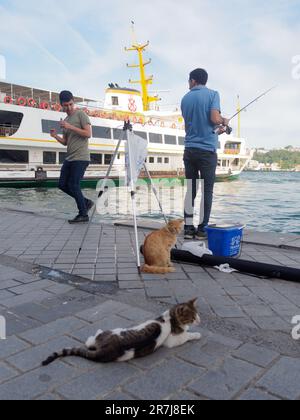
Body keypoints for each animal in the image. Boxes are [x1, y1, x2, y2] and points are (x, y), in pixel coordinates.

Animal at [41, 298, 202, 364]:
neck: (169, 318)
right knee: (89, 342)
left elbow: (187, 334)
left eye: (197, 314)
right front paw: (196, 333)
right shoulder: (172, 340)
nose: (200, 321)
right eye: (193, 316)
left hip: (112, 332)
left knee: (89, 342)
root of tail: (106, 350)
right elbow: (187, 335)